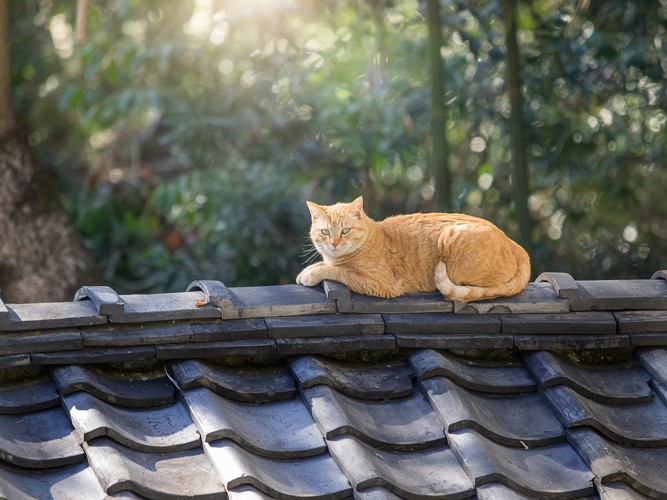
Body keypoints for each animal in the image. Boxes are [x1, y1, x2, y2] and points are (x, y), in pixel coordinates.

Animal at [298, 197, 532, 302]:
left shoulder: (379, 283)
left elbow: (339, 271)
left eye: (345, 230)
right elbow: (327, 264)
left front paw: (312, 273)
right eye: (326, 232)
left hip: (450, 239)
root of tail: (515, 244)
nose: (334, 244)